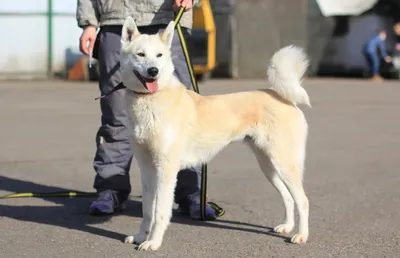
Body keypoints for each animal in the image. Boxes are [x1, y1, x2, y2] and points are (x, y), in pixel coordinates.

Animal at [120, 15, 310, 250]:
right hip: (269, 166)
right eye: (140, 54)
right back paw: (287, 226)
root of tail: (283, 97)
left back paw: (301, 235)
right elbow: (147, 210)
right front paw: (140, 237)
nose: (153, 71)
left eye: (159, 55)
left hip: (284, 164)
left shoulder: (166, 170)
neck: (151, 99)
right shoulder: (147, 168)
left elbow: (160, 212)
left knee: (303, 201)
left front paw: (153, 242)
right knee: (289, 197)